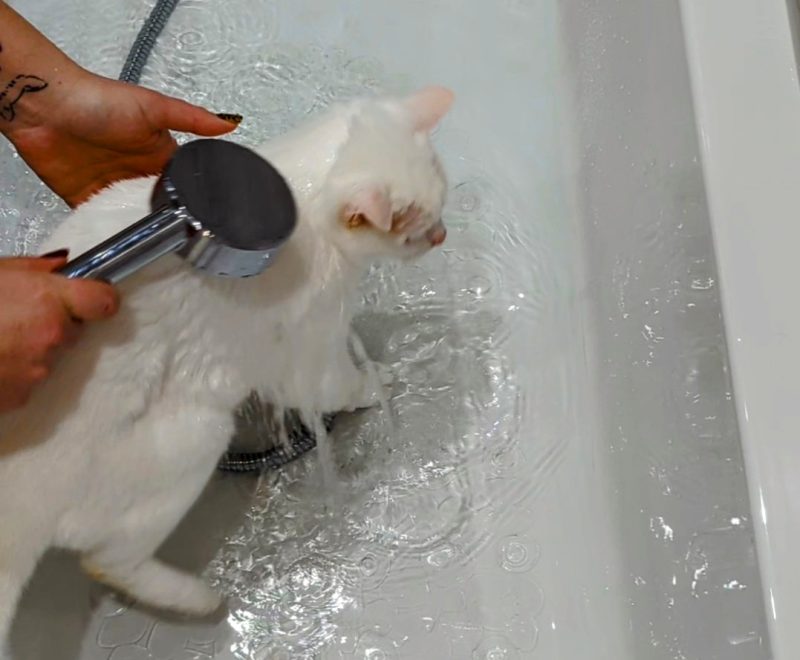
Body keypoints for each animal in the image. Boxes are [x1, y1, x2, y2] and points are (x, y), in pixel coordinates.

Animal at [0, 84, 454, 656]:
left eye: (443, 208)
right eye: (415, 234)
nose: (442, 237)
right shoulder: (309, 353)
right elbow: (344, 384)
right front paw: (378, 379)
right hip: (195, 434)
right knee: (107, 562)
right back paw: (198, 599)